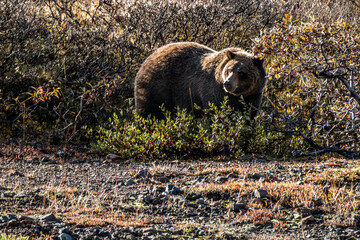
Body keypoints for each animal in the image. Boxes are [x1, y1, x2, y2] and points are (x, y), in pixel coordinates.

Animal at [134, 43, 266, 119]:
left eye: (241, 73)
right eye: (229, 70)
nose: (227, 83)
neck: (239, 94)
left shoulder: (254, 94)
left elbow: (250, 113)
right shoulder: (214, 91)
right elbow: (218, 111)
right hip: (155, 89)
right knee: (148, 111)